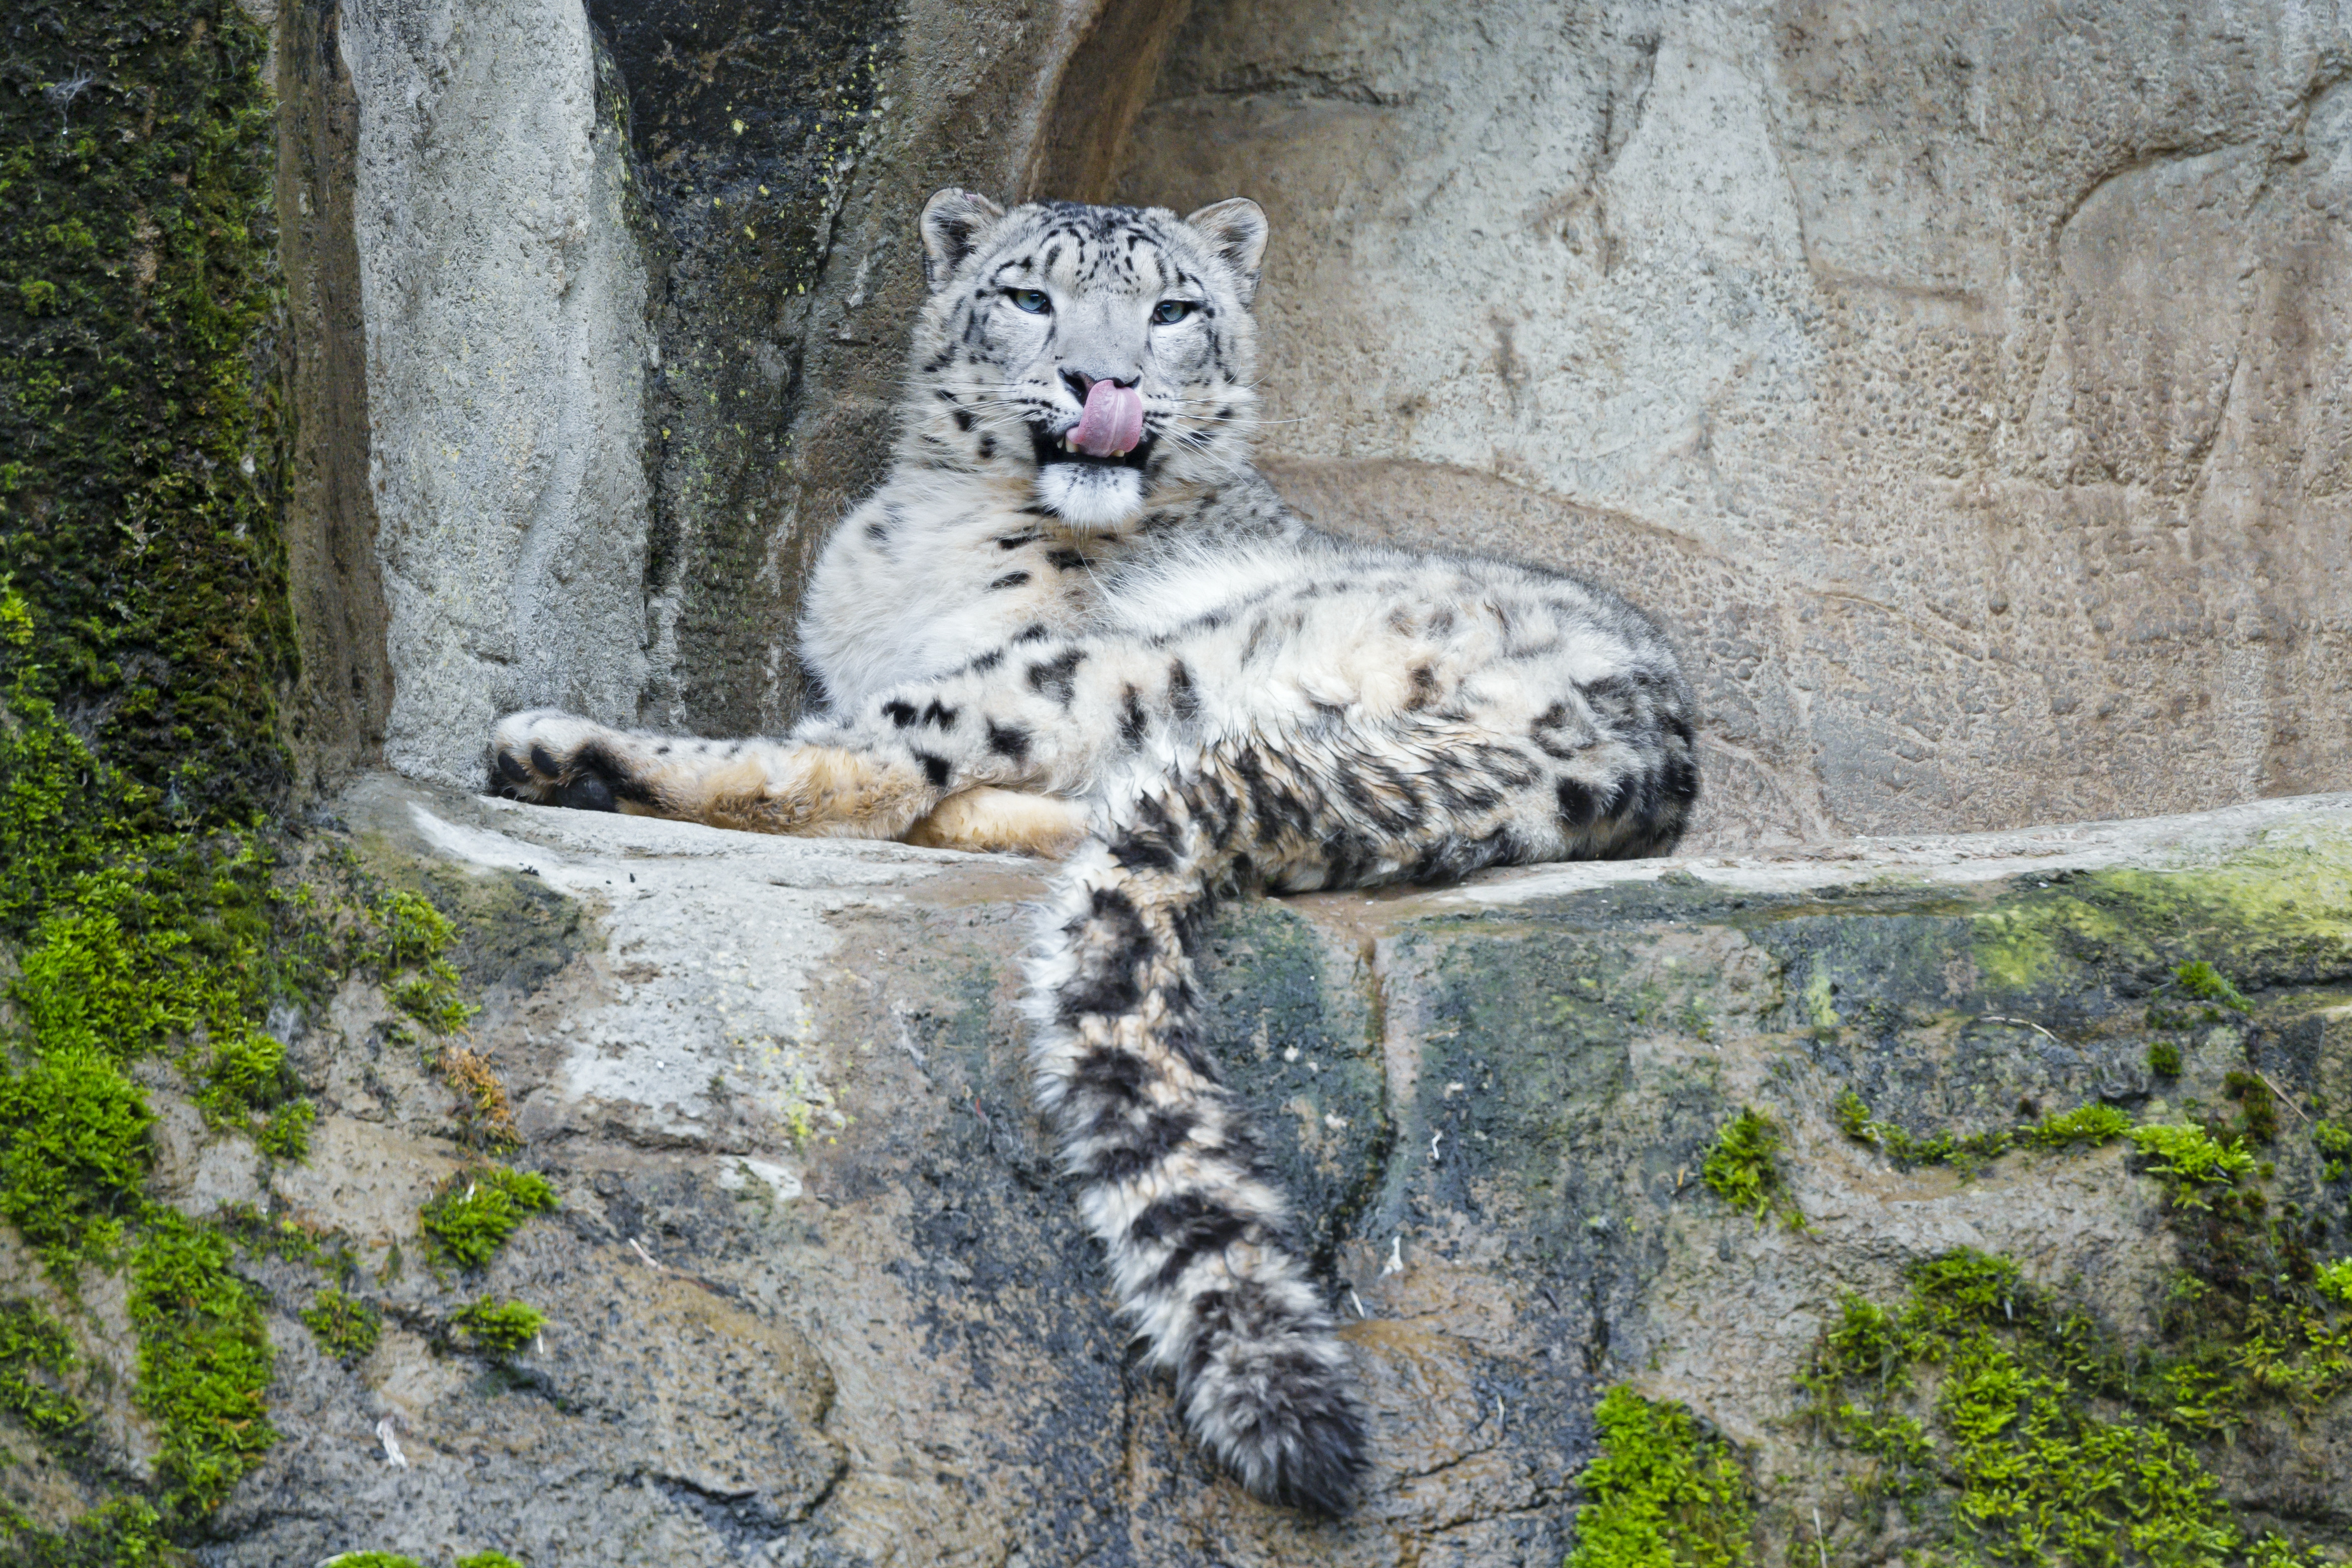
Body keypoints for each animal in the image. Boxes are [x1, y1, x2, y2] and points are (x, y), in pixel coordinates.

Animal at [486, 187, 1693, 1523]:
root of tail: (1609, 752)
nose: (1101, 378)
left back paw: (571, 754)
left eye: (1171, 311)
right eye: (1029, 296)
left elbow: (866, 753)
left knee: (874, 766)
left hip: (1123, 664)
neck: (928, 537)